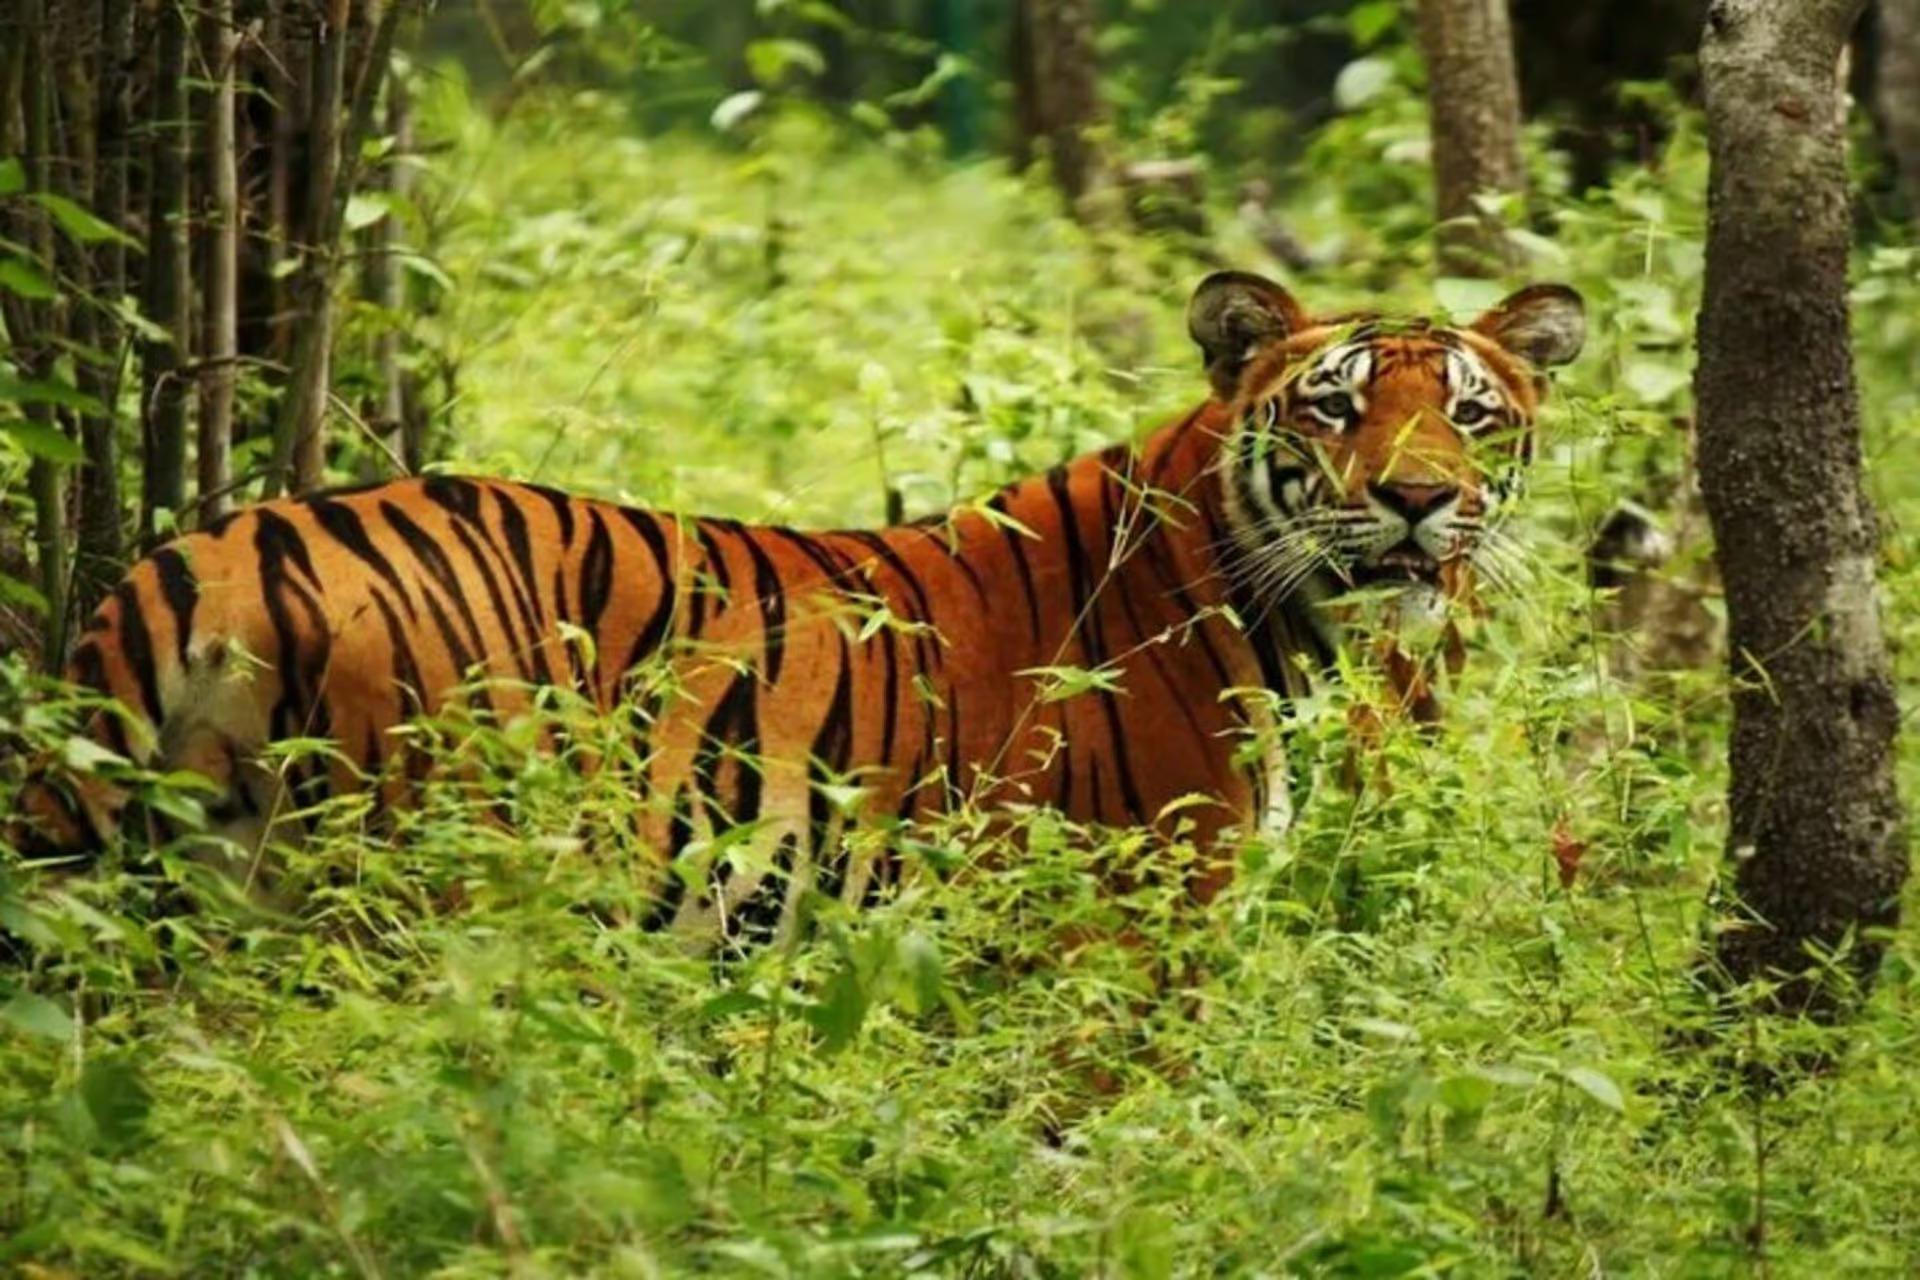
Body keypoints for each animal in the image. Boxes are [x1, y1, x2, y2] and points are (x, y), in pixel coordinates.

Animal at [10, 271, 1584, 945]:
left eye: (1470, 414)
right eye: (1334, 407)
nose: (1420, 500)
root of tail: (211, 550)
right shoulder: (1130, 924)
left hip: (206, 882)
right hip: (425, 880)